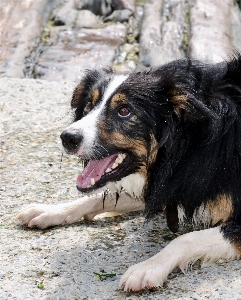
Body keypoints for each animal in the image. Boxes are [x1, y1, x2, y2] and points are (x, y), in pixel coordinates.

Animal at [17, 55, 241, 292]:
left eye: (125, 111)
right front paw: (50, 210)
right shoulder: (167, 186)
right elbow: (98, 197)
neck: (189, 142)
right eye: (88, 105)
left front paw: (148, 268)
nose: (67, 137)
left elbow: (184, 239)